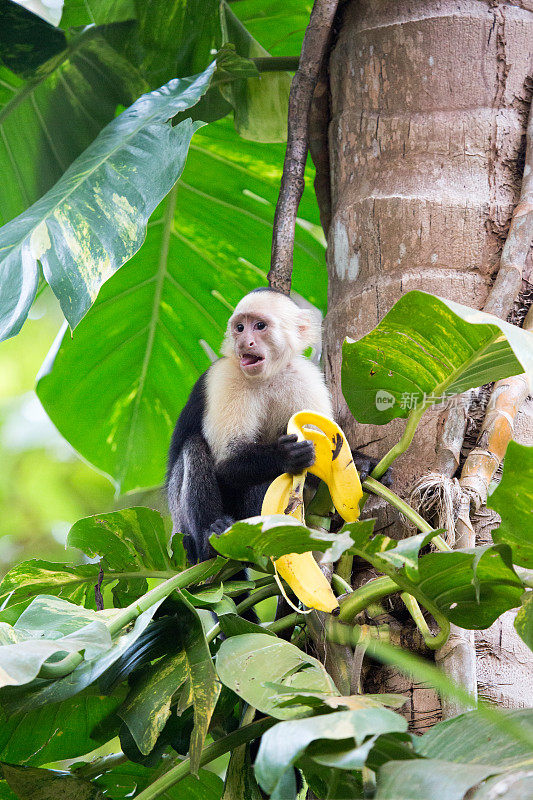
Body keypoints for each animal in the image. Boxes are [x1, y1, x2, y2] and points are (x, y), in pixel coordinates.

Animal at [168, 288, 380, 564]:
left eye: (259, 326)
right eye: (239, 328)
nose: (244, 342)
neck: (268, 376)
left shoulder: (305, 377)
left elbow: (324, 458)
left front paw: (363, 463)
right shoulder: (225, 376)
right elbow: (226, 463)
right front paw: (285, 455)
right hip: (180, 531)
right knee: (194, 447)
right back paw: (210, 540)